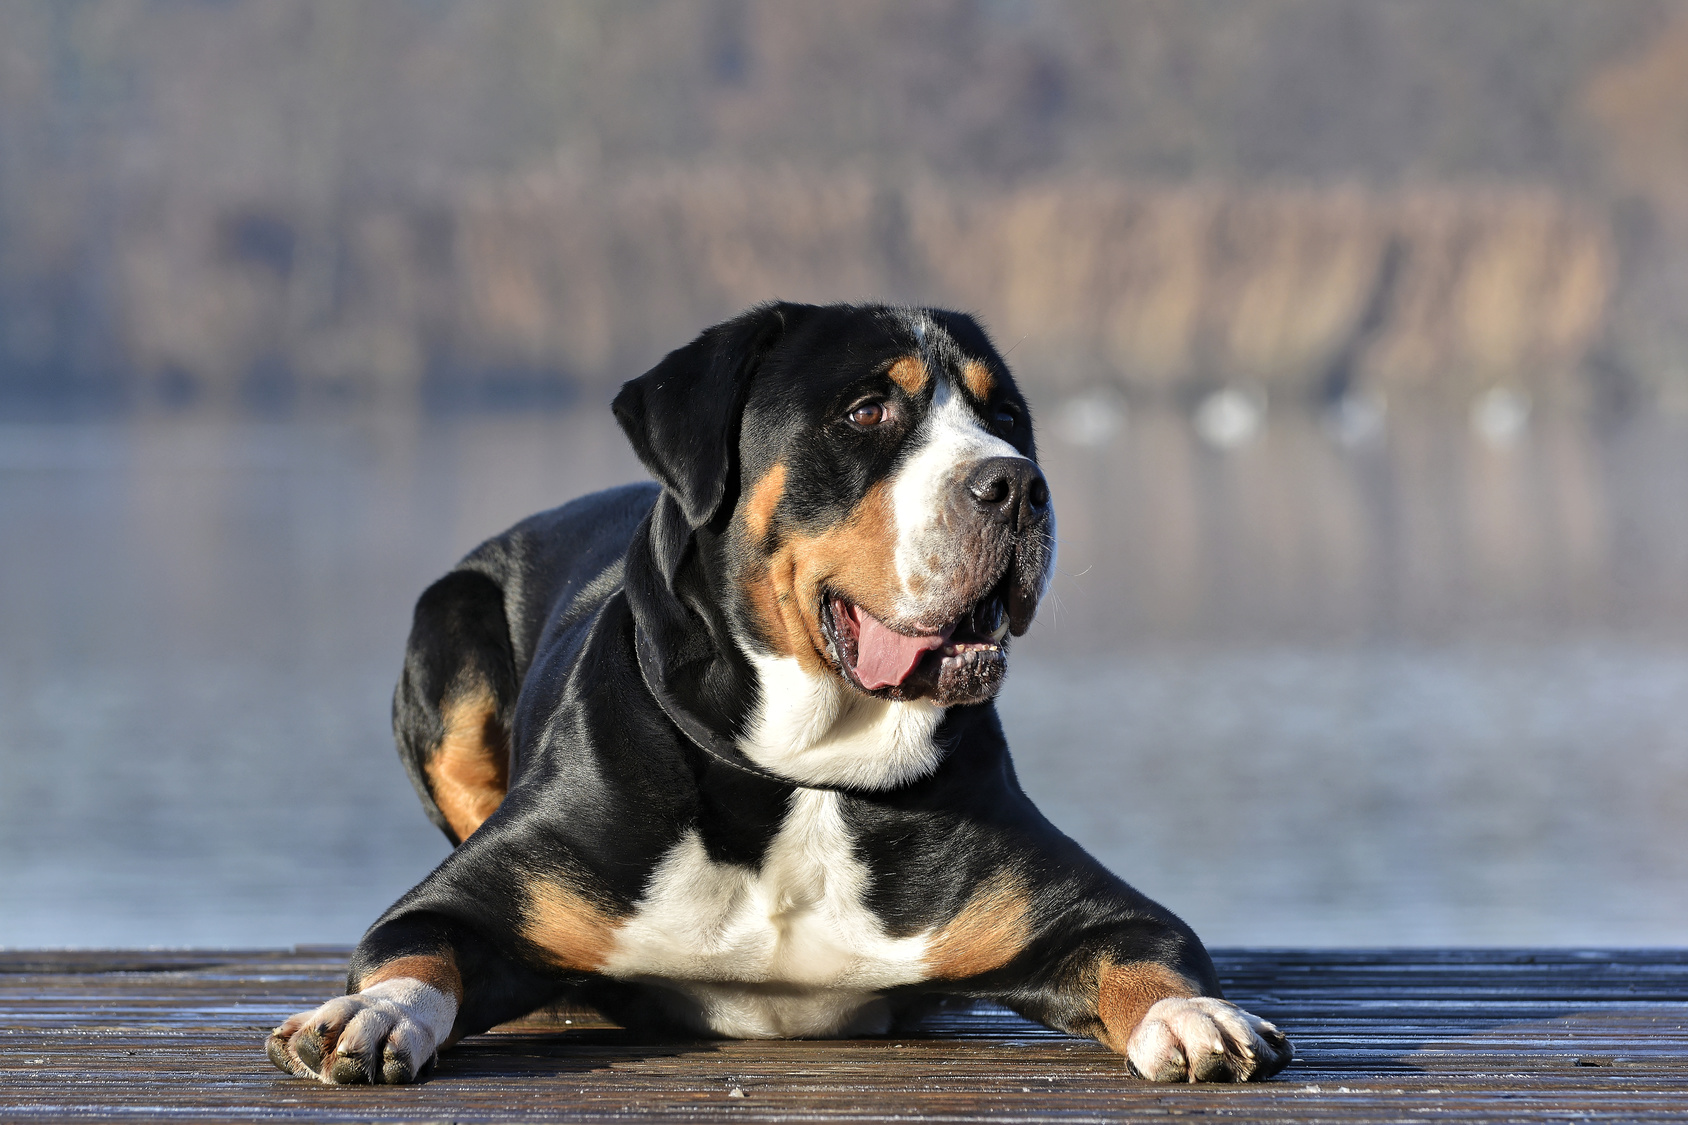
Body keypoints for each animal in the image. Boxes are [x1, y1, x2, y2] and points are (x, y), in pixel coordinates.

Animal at [263, 297, 1289, 1081]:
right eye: (869, 410)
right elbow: (412, 951)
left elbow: (1151, 959)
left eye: (1007, 419)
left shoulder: (1099, 912)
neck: (805, 769)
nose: (1016, 485)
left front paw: (1196, 1016)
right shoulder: (462, 901)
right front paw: (370, 1015)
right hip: (451, 624)